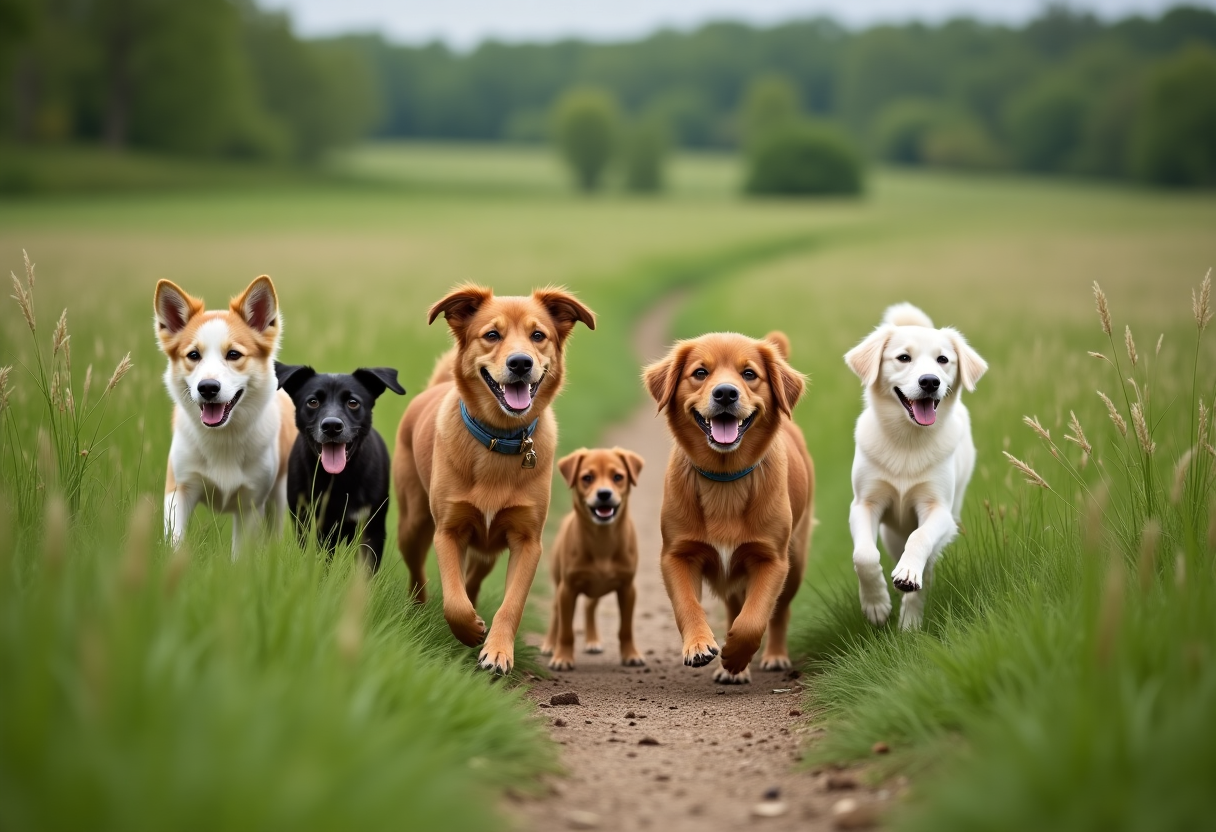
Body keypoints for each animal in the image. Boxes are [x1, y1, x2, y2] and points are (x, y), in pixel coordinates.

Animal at [154, 276, 296, 554]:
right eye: (193, 355)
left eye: (233, 355)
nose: (208, 387)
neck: (222, 437)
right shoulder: (179, 489)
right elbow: (175, 539)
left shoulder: (251, 503)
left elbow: (240, 555)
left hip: (279, 496)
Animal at [276, 364, 408, 571]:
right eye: (313, 402)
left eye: (353, 402)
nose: (332, 425)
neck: (337, 480)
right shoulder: (308, 525)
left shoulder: (372, 529)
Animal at [391, 282, 595, 671]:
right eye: (491, 335)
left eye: (538, 335)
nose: (520, 363)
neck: (499, 439)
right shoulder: (448, 530)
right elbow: (454, 600)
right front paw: (468, 629)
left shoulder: (527, 541)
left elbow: (511, 604)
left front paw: (497, 650)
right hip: (412, 523)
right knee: (418, 573)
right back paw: (418, 610)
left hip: (487, 551)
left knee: (472, 579)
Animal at [542, 447, 646, 671]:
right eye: (587, 478)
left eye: (618, 477)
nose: (604, 493)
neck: (602, 541)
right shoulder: (567, 589)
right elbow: (566, 631)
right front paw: (562, 657)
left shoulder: (627, 589)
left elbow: (626, 629)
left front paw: (631, 654)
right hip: (559, 584)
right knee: (556, 614)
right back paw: (549, 644)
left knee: (590, 607)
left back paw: (592, 640)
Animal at [846, 301, 987, 627]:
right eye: (903, 358)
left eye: (943, 360)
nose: (930, 381)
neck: (907, 441)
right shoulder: (864, 503)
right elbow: (865, 556)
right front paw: (876, 604)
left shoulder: (938, 510)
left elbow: (919, 538)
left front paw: (907, 576)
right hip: (890, 533)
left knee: (928, 566)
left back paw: (910, 622)